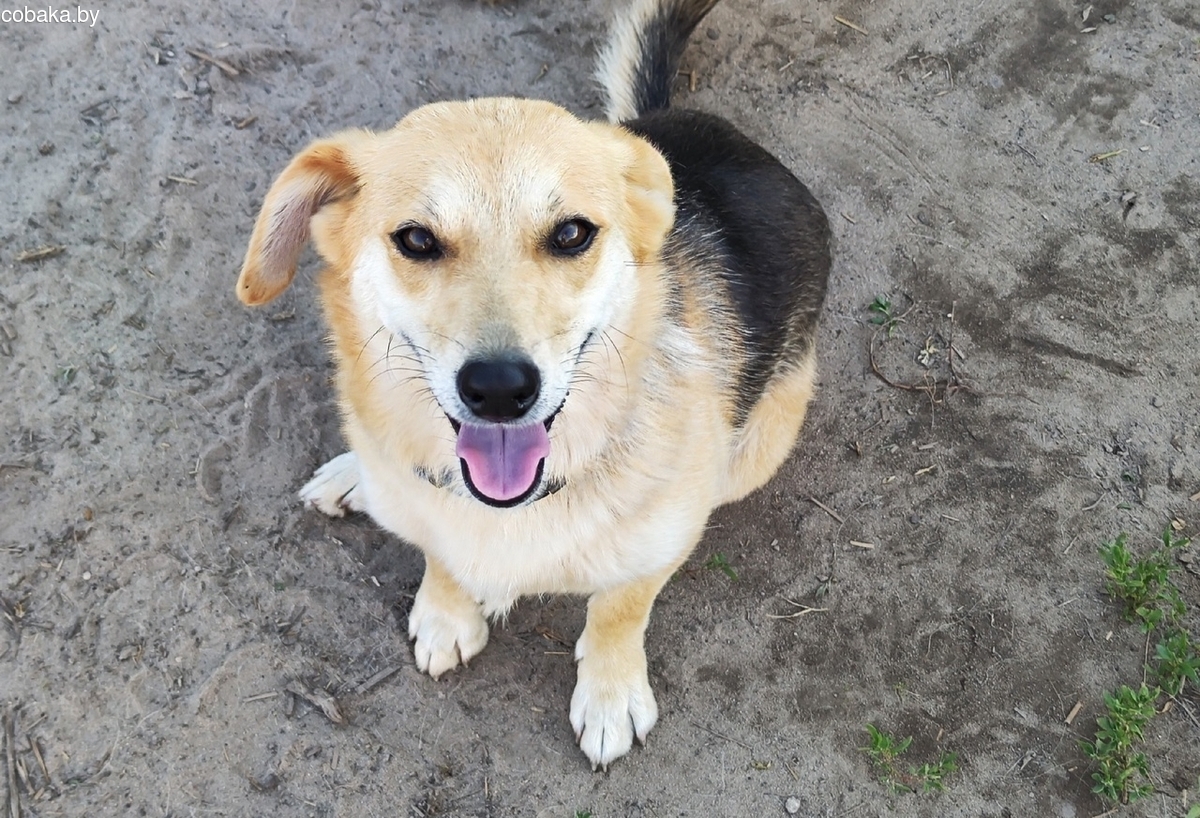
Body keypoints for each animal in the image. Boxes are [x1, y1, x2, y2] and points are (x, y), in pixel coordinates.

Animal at [236, 0, 830, 768]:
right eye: (417, 240)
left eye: (572, 233)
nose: (497, 388)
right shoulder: (432, 508)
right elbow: (439, 550)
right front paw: (447, 610)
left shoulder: (662, 541)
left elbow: (620, 608)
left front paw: (610, 693)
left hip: (756, 448)